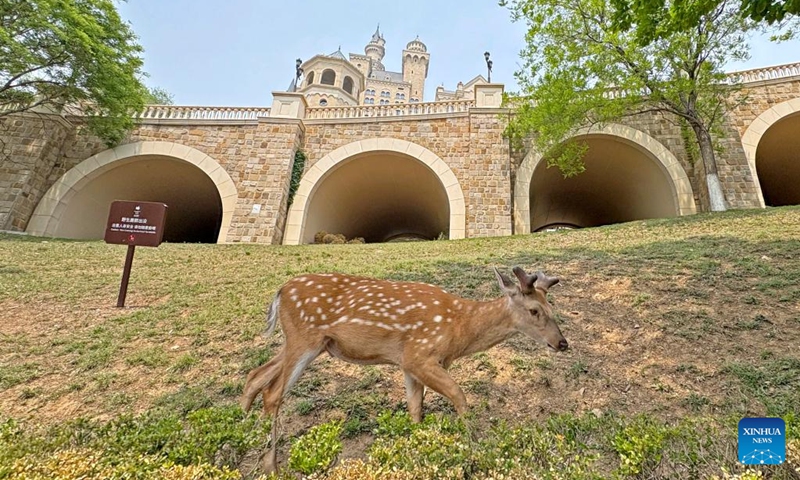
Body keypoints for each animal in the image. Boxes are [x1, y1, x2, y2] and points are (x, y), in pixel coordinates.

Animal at [241, 265, 568, 473]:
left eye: (552, 310)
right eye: (534, 311)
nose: (562, 343)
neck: (459, 330)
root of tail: (281, 290)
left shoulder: (408, 363)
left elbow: (414, 409)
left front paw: (414, 450)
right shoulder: (418, 355)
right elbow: (459, 396)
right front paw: (475, 449)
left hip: (304, 342)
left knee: (255, 376)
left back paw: (240, 433)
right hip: (305, 338)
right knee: (273, 392)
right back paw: (271, 465)